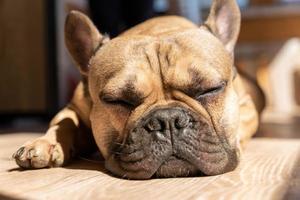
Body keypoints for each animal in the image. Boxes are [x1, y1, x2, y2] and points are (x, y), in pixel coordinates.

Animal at [13, 0, 262, 178]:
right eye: (119, 100)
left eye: (209, 89)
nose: (168, 120)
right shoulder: (74, 107)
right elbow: (62, 122)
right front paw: (44, 143)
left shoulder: (247, 107)